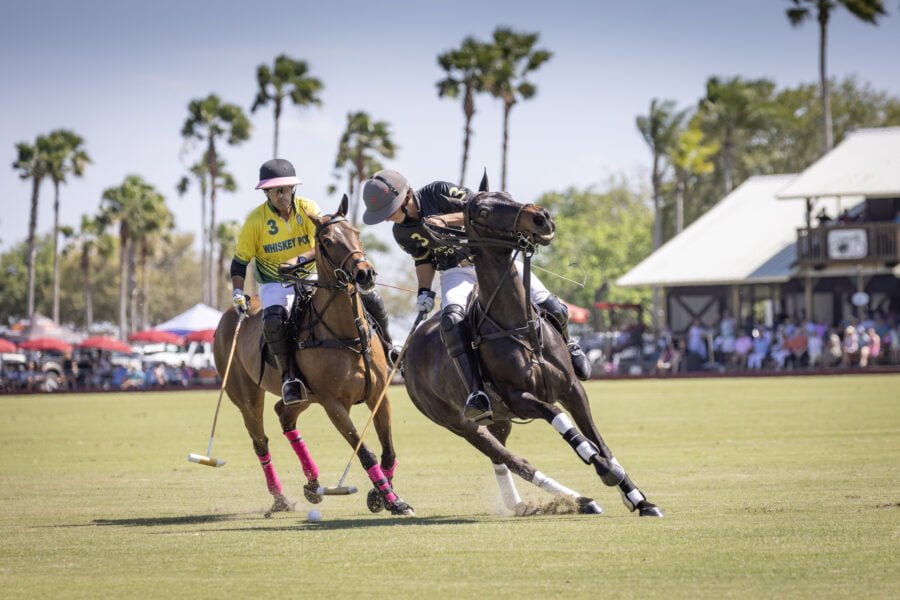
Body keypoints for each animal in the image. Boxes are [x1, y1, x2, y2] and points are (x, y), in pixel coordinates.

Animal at [214, 196, 414, 516]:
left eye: (356, 233)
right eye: (328, 241)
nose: (365, 274)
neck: (347, 333)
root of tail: (226, 317)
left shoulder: (379, 394)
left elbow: (389, 450)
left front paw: (379, 496)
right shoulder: (334, 404)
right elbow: (366, 453)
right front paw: (393, 500)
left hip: (305, 397)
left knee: (284, 416)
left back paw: (312, 483)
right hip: (246, 396)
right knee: (260, 440)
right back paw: (281, 498)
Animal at [404, 185, 664, 516]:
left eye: (506, 194)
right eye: (483, 211)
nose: (541, 217)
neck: (518, 324)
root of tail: (404, 352)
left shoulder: (572, 388)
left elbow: (599, 440)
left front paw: (638, 499)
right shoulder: (521, 399)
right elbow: (566, 425)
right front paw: (607, 472)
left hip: (498, 420)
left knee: (500, 457)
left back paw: (524, 503)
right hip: (460, 423)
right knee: (515, 460)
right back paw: (578, 501)